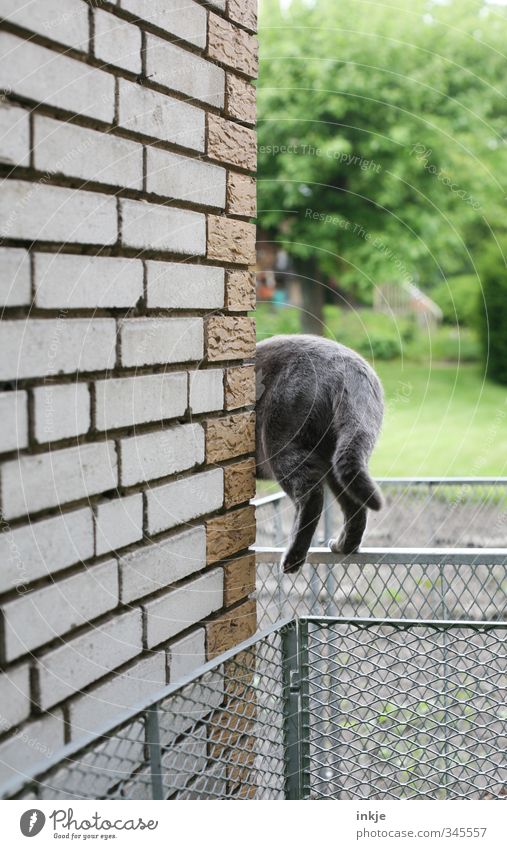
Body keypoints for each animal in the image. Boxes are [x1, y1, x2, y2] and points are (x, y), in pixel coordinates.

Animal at [258, 334, 384, 572]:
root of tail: (349, 369)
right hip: (340, 456)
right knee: (354, 505)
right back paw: (344, 546)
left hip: (280, 442)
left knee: (311, 495)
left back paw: (292, 559)